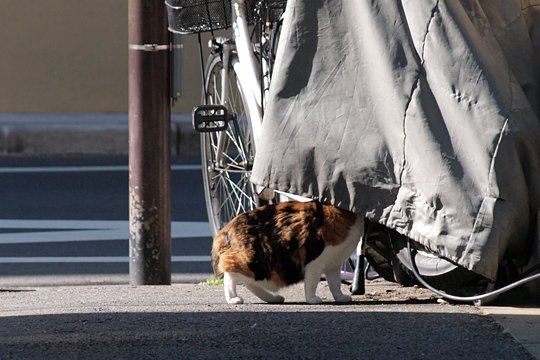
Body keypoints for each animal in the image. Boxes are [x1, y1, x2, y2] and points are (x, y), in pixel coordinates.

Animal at [210, 201, 362, 302]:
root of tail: (226, 229)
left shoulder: (334, 265)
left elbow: (335, 284)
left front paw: (340, 297)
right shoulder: (315, 263)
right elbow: (311, 283)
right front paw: (312, 299)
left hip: (258, 268)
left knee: (249, 283)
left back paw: (273, 298)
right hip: (249, 260)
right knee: (230, 277)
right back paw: (233, 299)